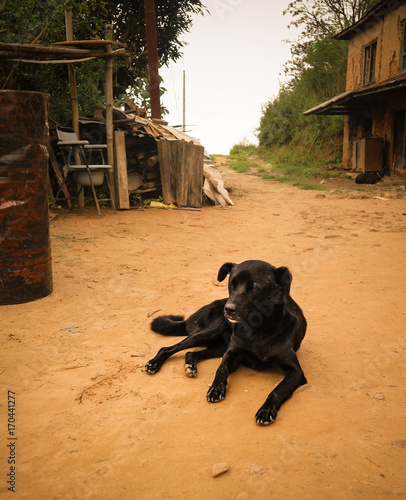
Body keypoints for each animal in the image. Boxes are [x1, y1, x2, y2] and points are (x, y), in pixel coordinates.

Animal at [146, 260, 308, 424]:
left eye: (254, 288)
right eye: (231, 285)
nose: (228, 309)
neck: (257, 328)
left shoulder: (296, 372)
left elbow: (278, 389)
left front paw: (266, 410)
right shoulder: (231, 353)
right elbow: (221, 369)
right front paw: (216, 388)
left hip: (219, 346)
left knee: (191, 353)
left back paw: (190, 366)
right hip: (210, 333)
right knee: (168, 348)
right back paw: (154, 364)